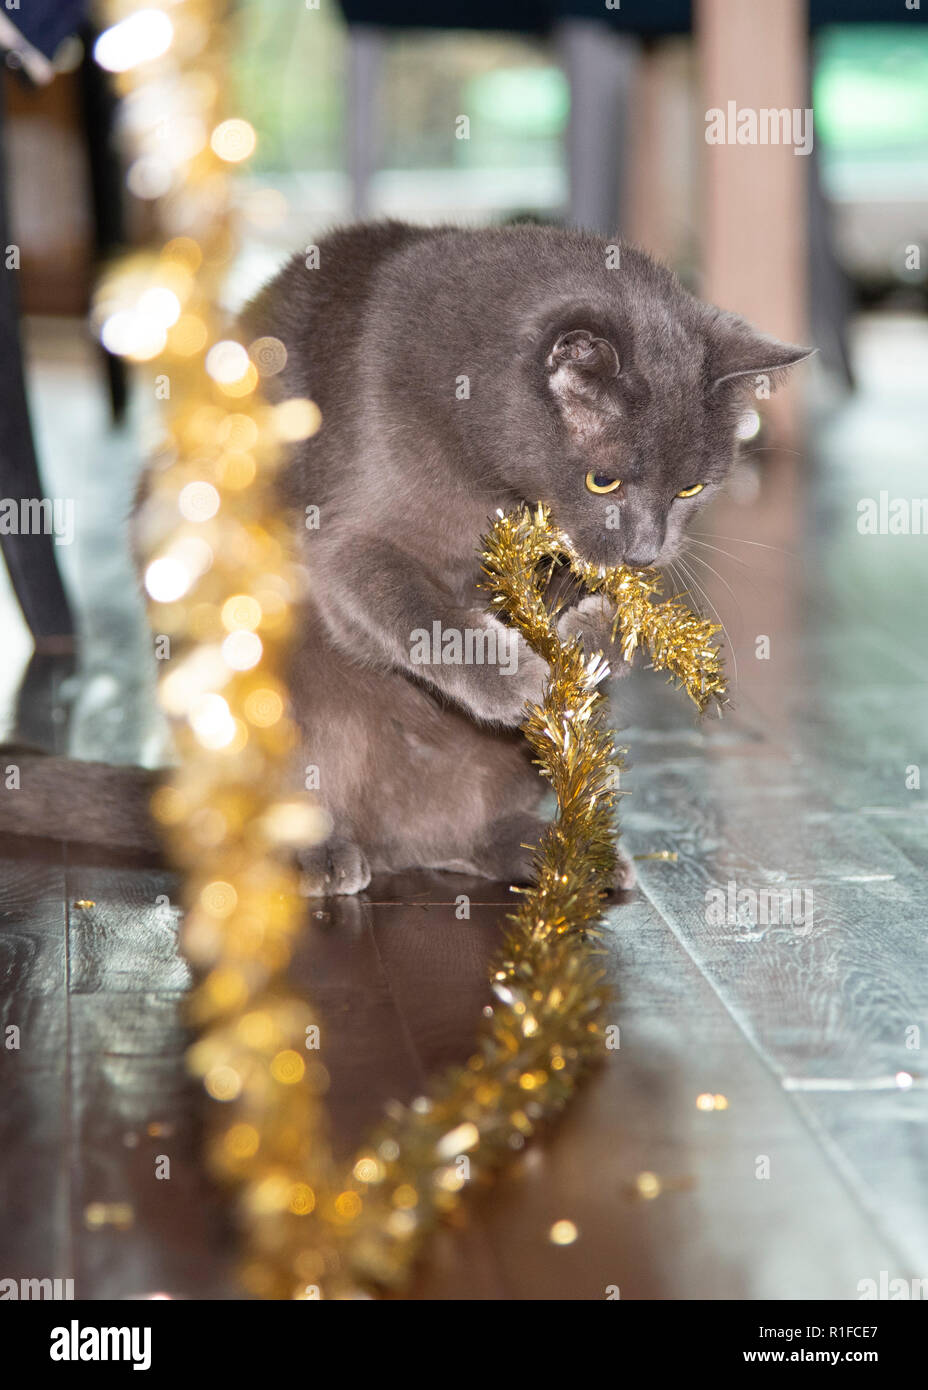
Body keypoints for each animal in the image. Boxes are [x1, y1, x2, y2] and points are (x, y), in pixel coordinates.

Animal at [0, 216, 811, 889]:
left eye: (691, 488)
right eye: (602, 479)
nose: (645, 552)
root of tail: (400, 842)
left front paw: (583, 634)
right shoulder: (347, 544)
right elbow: (417, 612)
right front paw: (520, 676)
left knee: (472, 832)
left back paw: (554, 853)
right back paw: (318, 854)